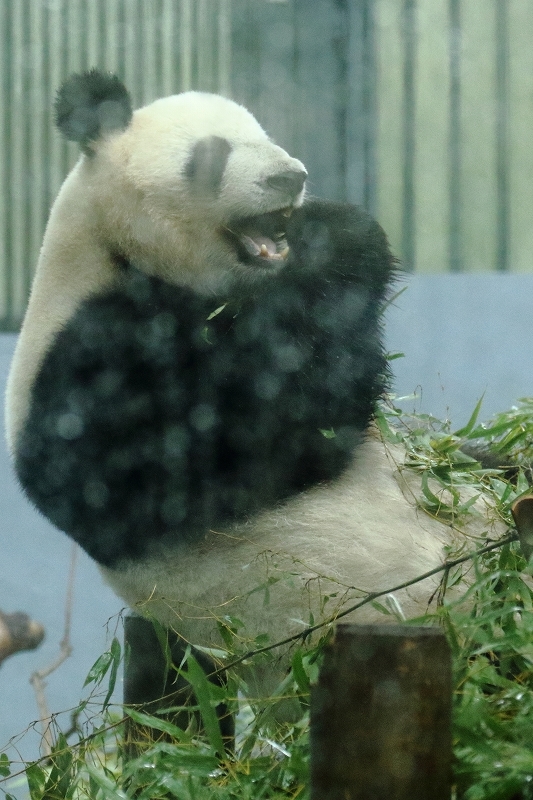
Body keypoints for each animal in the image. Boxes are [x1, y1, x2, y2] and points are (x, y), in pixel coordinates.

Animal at [5, 72, 502, 696]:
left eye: (264, 134)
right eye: (213, 154)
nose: (292, 177)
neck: (116, 254)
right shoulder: (88, 365)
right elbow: (272, 419)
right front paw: (341, 236)